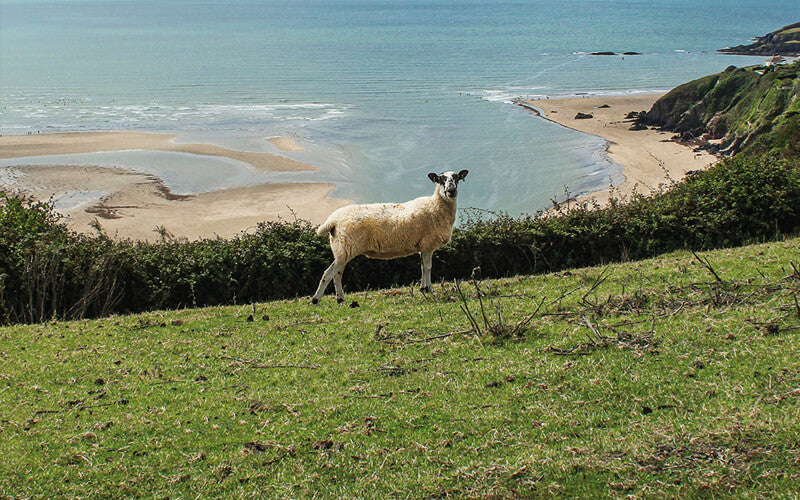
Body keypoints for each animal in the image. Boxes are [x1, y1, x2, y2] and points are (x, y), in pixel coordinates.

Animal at [310, 168, 466, 302]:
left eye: (457, 178)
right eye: (440, 179)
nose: (451, 191)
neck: (435, 206)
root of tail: (333, 220)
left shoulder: (422, 246)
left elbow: (422, 267)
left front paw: (423, 288)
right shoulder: (428, 244)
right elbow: (428, 268)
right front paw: (430, 289)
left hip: (342, 249)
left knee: (337, 273)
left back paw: (340, 299)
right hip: (346, 248)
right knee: (328, 273)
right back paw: (316, 299)